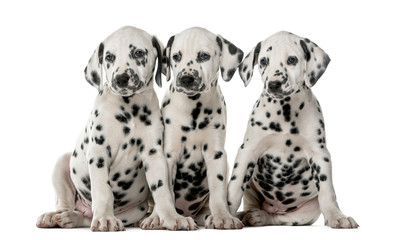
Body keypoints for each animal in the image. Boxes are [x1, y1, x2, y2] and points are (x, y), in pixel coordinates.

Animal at [35, 25, 196, 231]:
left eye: (138, 53)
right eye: (109, 57)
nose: (121, 79)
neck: (130, 109)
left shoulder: (154, 154)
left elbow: (162, 190)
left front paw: (173, 217)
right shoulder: (99, 153)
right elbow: (103, 191)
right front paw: (105, 218)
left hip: (136, 210)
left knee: (86, 217)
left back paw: (73, 218)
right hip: (62, 163)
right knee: (64, 203)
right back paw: (57, 216)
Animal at [139, 27, 244, 230]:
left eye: (204, 56)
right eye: (176, 56)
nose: (186, 78)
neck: (194, 108)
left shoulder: (216, 154)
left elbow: (218, 190)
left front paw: (222, 216)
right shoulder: (169, 155)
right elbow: (165, 190)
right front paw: (158, 217)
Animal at [226, 31, 358, 229]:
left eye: (292, 60)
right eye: (263, 61)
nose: (274, 84)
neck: (285, 111)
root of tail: (275, 207)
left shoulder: (319, 154)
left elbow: (327, 192)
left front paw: (337, 216)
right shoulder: (247, 151)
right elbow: (234, 188)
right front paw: (224, 215)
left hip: (306, 211)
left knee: (278, 219)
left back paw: (259, 216)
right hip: (251, 184)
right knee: (251, 203)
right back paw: (247, 214)